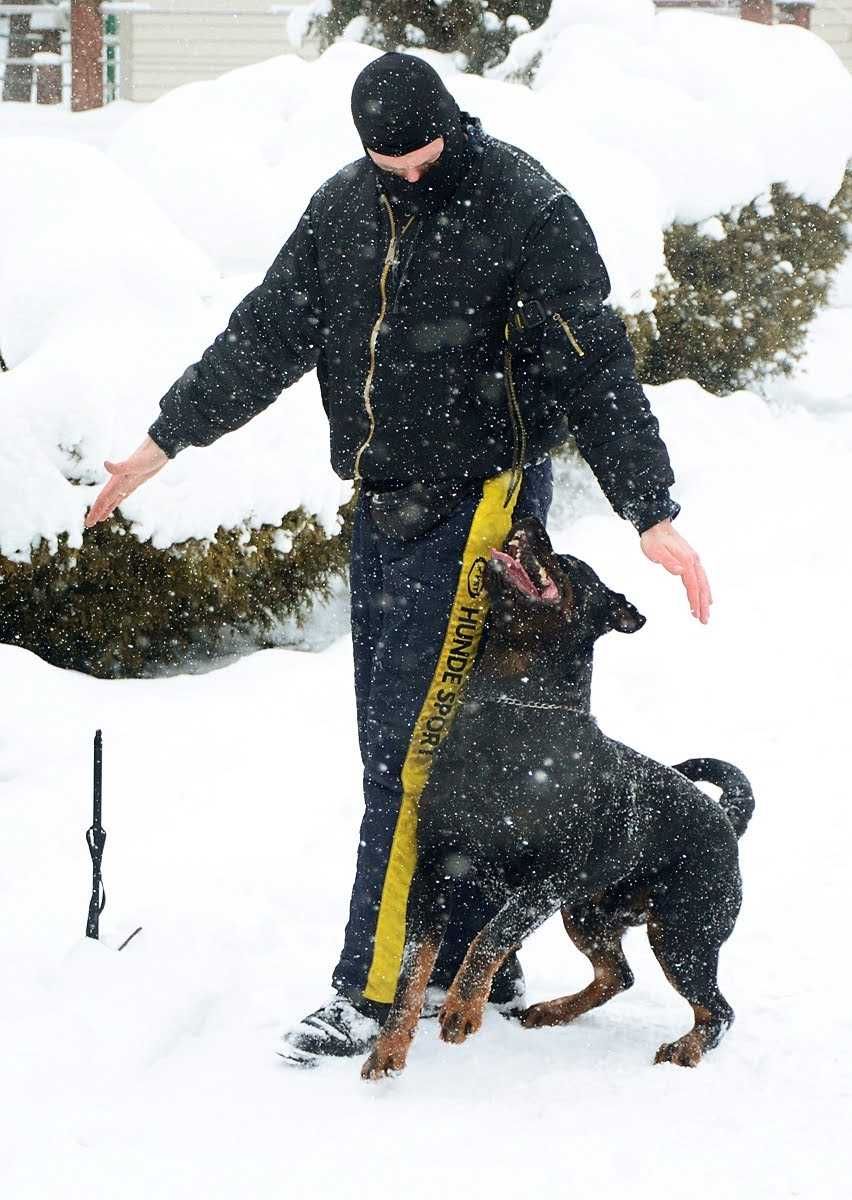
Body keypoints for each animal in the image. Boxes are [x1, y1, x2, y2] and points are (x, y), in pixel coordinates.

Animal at [360, 516, 753, 1080]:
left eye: (567, 564)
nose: (528, 521)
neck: (511, 708)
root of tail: (725, 818)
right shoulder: (433, 871)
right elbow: (413, 968)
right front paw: (389, 1050)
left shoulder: (547, 879)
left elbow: (490, 936)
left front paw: (461, 1009)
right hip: (588, 913)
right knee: (618, 975)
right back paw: (552, 1011)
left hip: (682, 933)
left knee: (717, 1009)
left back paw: (686, 1048)